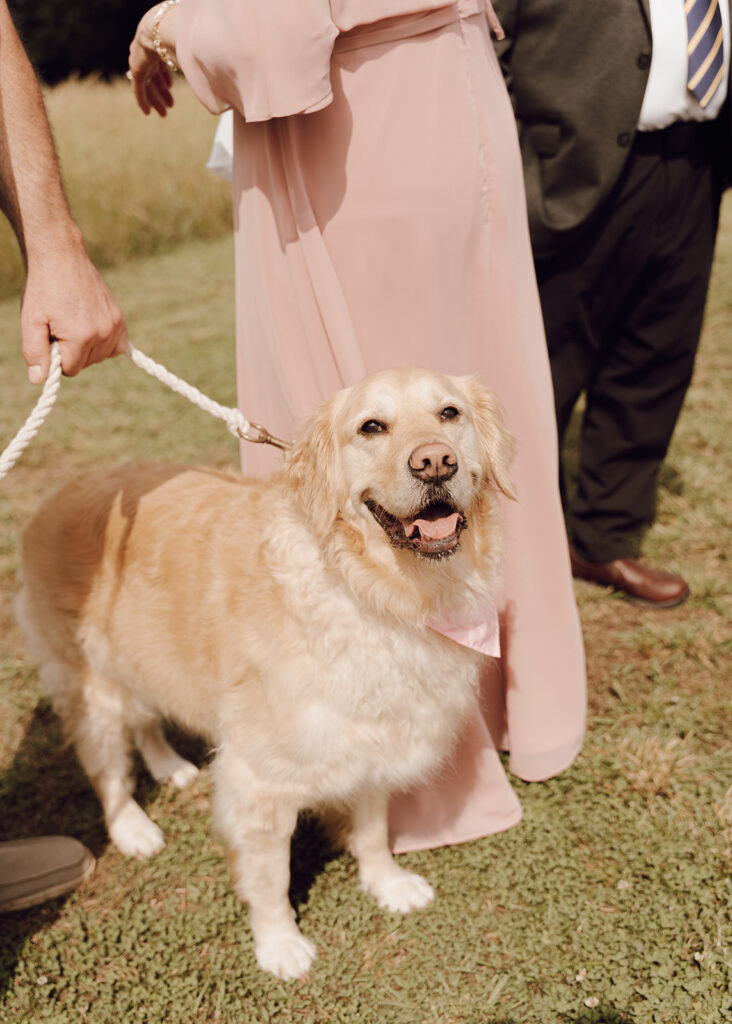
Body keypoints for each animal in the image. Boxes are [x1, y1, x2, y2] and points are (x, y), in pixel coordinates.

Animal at [14, 366, 511, 974]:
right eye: (371, 427)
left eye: (449, 413)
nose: (436, 462)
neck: (374, 590)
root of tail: (60, 492)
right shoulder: (259, 778)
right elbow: (271, 875)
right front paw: (279, 944)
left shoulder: (371, 740)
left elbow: (373, 829)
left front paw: (387, 883)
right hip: (92, 687)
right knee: (108, 770)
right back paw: (132, 826)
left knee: (146, 720)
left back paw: (169, 767)